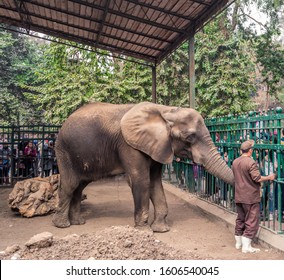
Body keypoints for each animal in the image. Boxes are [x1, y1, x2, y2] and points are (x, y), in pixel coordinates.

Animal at [52, 101, 234, 233]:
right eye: (190, 137)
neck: (165, 110)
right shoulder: (128, 145)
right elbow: (141, 181)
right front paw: (144, 231)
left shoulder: (158, 146)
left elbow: (154, 182)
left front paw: (161, 230)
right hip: (64, 151)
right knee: (70, 184)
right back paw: (62, 225)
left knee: (80, 185)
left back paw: (78, 222)